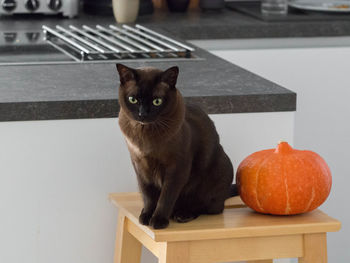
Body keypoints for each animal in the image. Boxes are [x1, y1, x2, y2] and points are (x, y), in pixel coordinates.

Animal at [116, 63, 237, 229]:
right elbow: (148, 195)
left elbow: (166, 197)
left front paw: (158, 221)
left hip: (218, 170)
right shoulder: (140, 165)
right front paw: (146, 217)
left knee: (208, 207)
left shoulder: (177, 168)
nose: (143, 114)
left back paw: (182, 214)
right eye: (133, 99)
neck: (145, 135)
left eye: (157, 101)